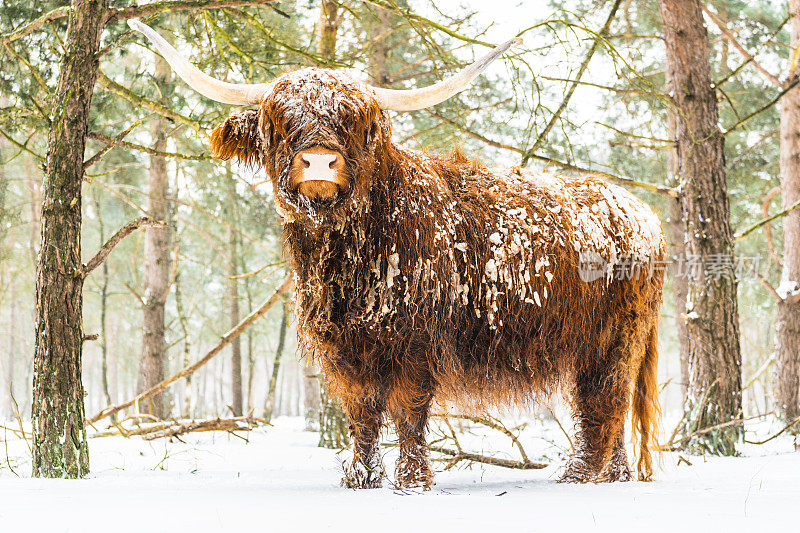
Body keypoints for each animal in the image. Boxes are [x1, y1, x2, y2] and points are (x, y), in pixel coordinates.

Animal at [131, 19, 664, 486]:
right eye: (279, 122)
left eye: (356, 122)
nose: (319, 162)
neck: (349, 260)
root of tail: (640, 210)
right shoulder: (346, 348)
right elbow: (363, 413)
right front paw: (359, 478)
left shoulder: (416, 340)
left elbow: (408, 410)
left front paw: (411, 481)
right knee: (609, 414)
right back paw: (610, 478)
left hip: (613, 342)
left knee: (602, 407)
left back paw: (577, 477)